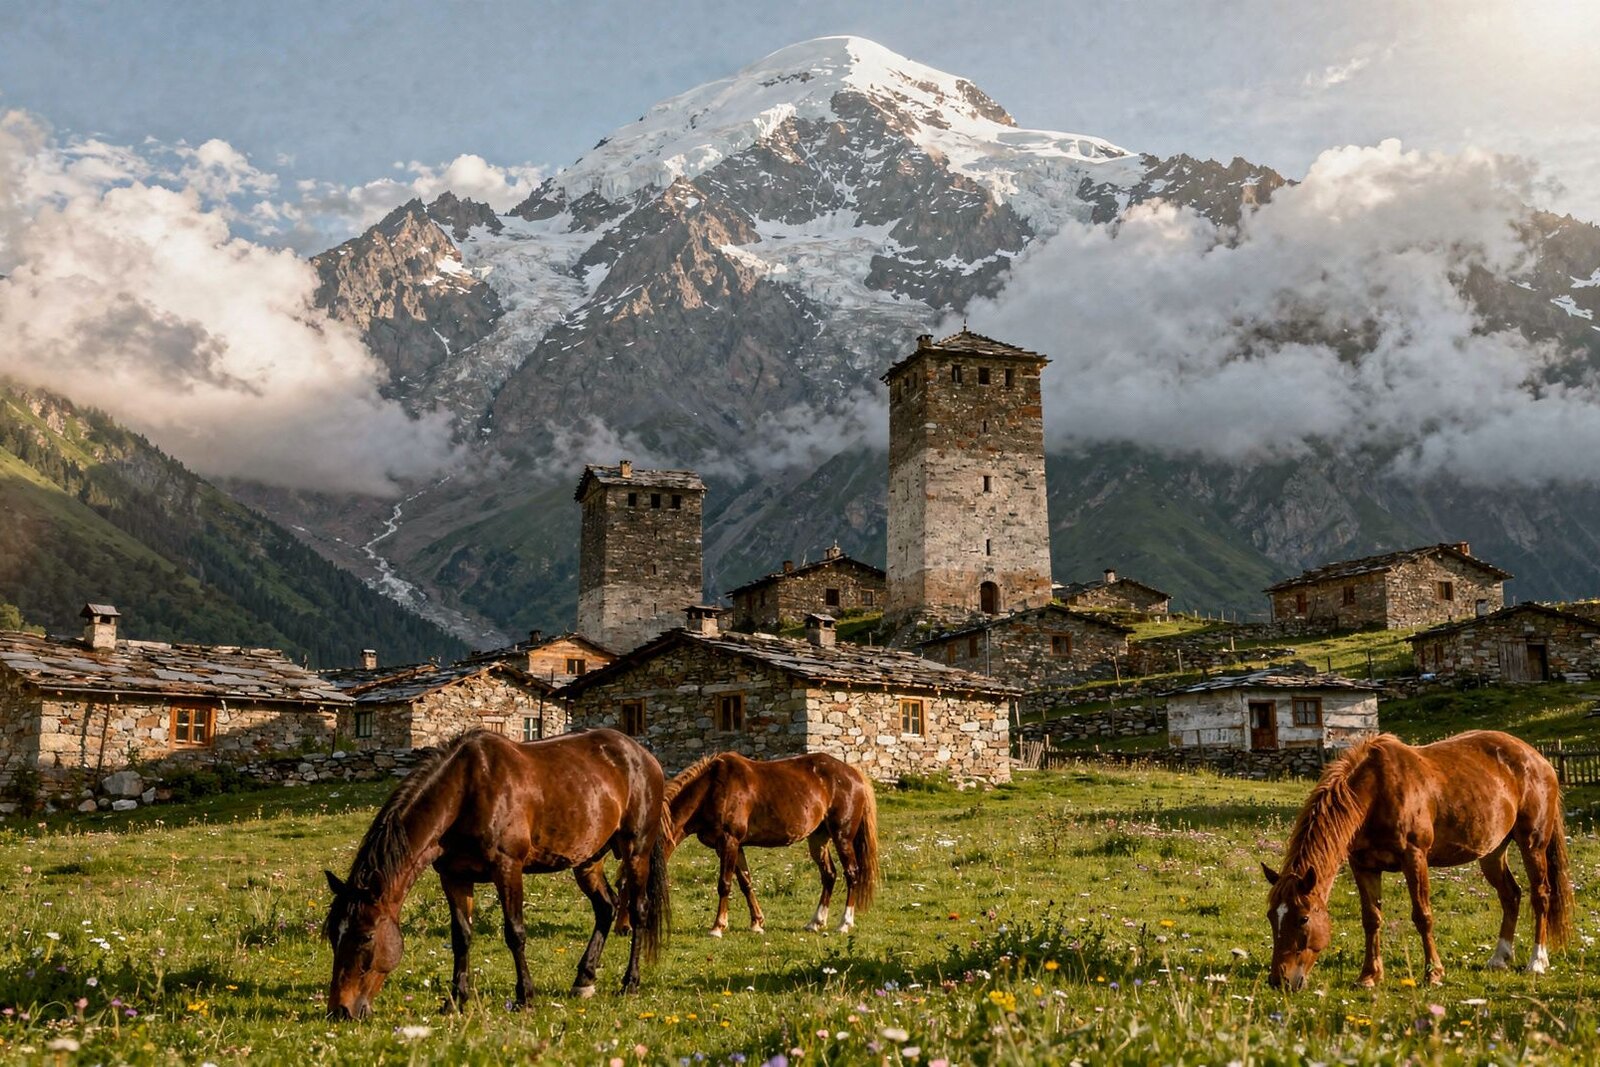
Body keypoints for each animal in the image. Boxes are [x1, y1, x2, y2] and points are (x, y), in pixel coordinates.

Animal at [322, 728, 670, 1020]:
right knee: (606, 907)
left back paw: (630, 982)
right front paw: (455, 1000)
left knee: (638, 912)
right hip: (588, 860)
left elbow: (515, 933)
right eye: (333, 936)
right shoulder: (454, 877)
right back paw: (584, 979)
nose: (340, 1010)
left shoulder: (507, 868)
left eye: (366, 936)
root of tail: (643, 756)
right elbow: (461, 936)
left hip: (636, 851)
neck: (465, 791)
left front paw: (525, 997)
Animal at [665, 751, 878, 937]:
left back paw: (844, 924)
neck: (711, 789)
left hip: (842, 837)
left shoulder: (729, 841)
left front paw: (717, 927)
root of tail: (854, 774)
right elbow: (746, 882)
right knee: (829, 875)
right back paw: (815, 922)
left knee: (851, 874)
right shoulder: (732, 846)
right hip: (819, 839)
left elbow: (724, 884)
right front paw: (756, 923)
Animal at [1262, 730, 1572, 991]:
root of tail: (1538, 759)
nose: (1280, 980)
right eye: (1271, 916)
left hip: (1532, 844)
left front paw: (1433, 973)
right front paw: (1369, 976)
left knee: (1540, 896)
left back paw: (1537, 961)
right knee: (1511, 895)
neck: (1375, 793)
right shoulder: (1363, 866)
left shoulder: (1414, 858)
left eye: (1303, 919)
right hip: (1493, 852)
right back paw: (1499, 958)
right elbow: (1371, 919)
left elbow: (1423, 916)